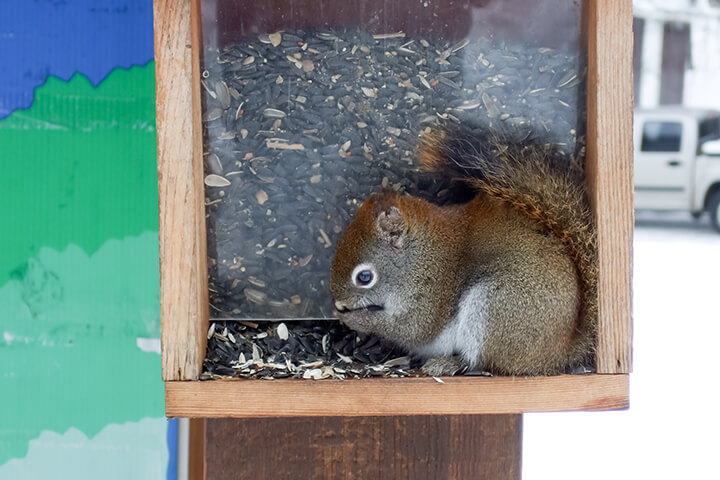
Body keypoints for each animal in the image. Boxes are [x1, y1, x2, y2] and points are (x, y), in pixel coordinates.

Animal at [330, 125, 600, 376]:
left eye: (364, 277)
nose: (340, 304)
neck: (420, 255)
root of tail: (560, 351)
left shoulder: (431, 289)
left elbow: (414, 329)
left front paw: (355, 319)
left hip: (496, 306)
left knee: (482, 361)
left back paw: (447, 364)